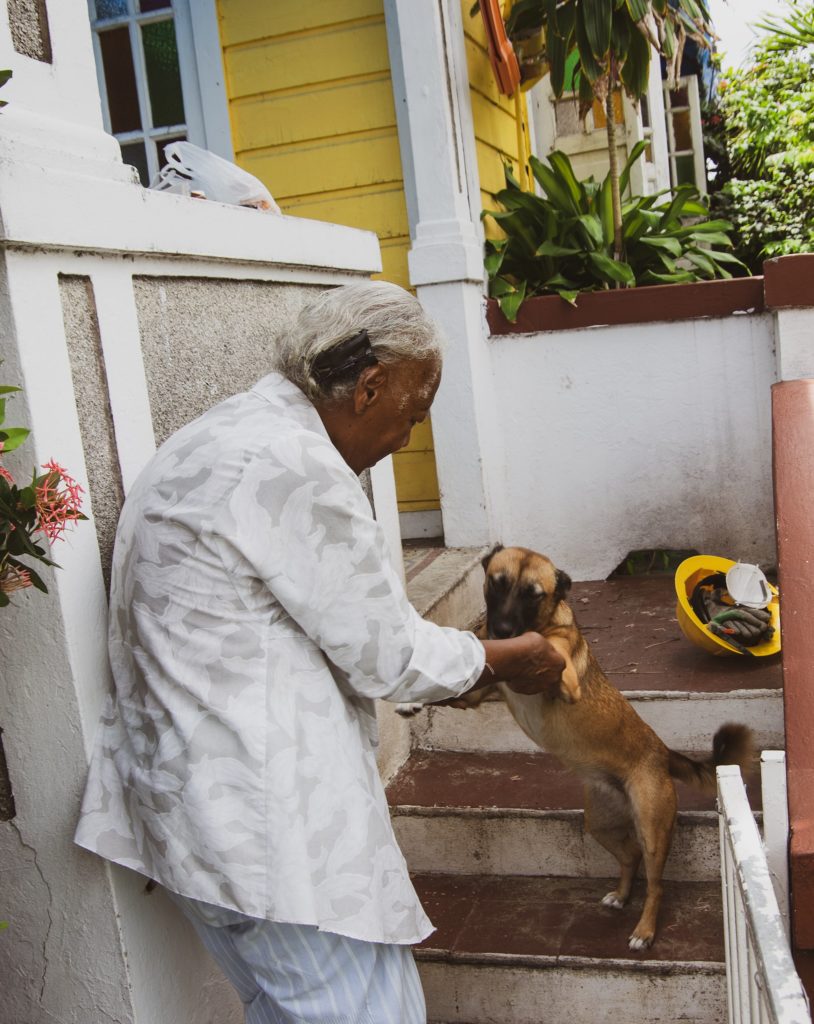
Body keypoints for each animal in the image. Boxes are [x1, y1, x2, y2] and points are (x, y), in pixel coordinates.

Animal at [460, 548, 753, 946]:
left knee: (656, 884)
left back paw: (644, 930)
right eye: (497, 582)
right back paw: (622, 896)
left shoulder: (565, 681)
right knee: (629, 857)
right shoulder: (475, 694)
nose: (501, 631)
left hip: (652, 829)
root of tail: (663, 754)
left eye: (533, 595)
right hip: (599, 823)